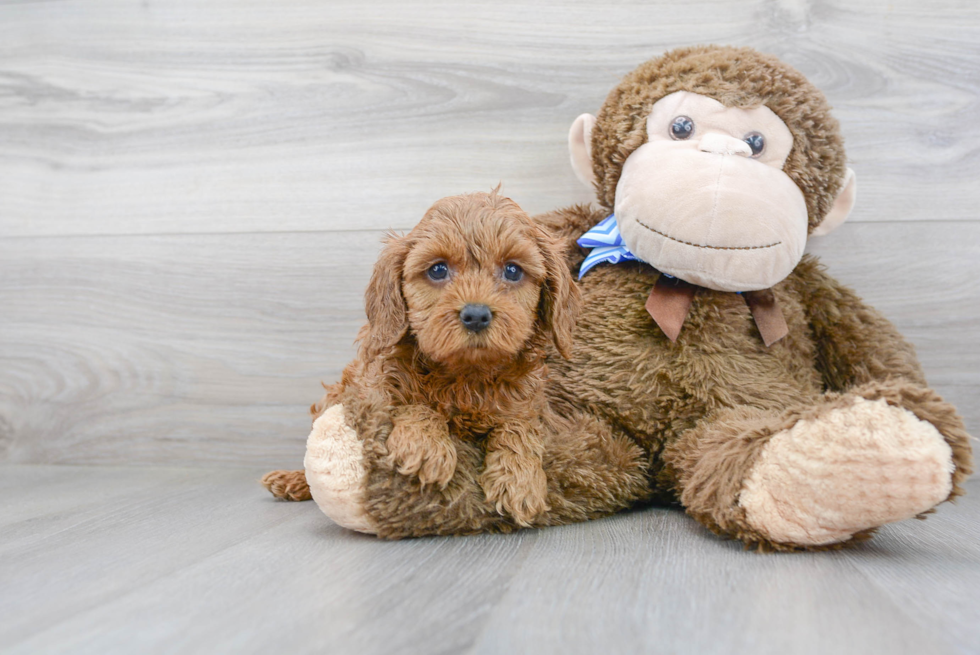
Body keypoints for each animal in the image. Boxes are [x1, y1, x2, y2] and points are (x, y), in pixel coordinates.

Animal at [260, 187, 580, 524]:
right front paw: (425, 446)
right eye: (438, 269)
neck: (466, 375)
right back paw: (292, 481)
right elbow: (409, 402)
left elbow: (521, 425)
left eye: (513, 270)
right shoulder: (369, 385)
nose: (476, 315)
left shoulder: (532, 405)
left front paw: (519, 478)